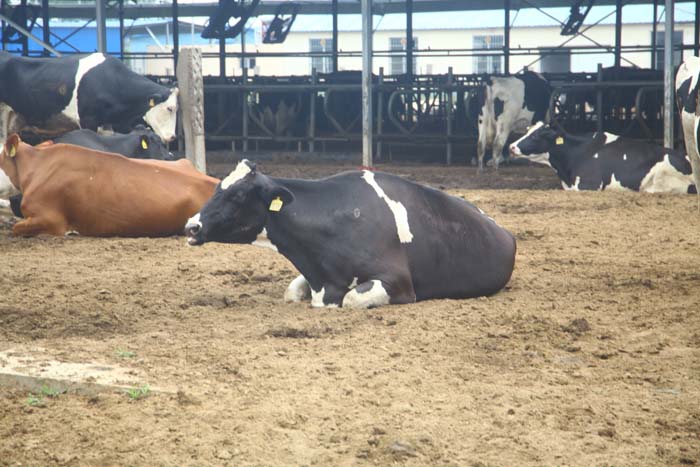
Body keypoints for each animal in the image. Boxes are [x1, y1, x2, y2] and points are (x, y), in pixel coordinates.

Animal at [184, 160, 516, 309]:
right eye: (217, 187)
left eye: (238, 195)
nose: (191, 225)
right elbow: (292, 291)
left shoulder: (398, 282)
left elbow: (352, 299)